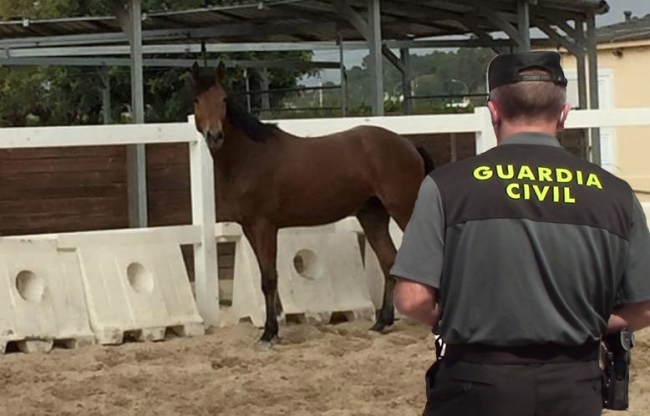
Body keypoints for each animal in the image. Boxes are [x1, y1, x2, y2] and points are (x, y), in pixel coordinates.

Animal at [191, 61, 436, 347]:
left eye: (223, 99)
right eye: (197, 99)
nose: (215, 135)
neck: (251, 156)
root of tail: (408, 145)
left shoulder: (265, 226)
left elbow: (269, 278)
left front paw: (269, 333)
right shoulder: (249, 228)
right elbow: (265, 277)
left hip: (404, 210)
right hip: (372, 215)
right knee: (389, 261)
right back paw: (381, 322)